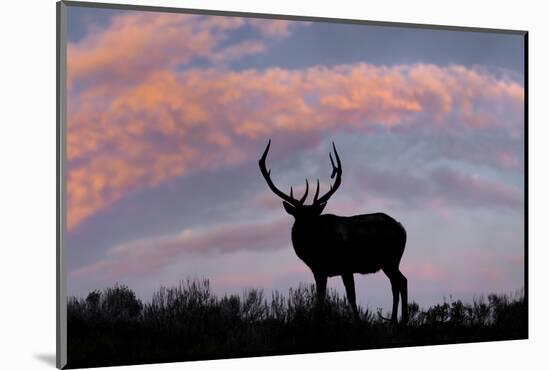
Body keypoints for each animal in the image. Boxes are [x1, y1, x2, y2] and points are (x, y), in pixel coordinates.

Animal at [260, 140, 410, 322]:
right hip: (390, 261)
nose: (309, 232)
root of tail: (402, 228)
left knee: (399, 282)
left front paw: (358, 322)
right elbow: (320, 300)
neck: (316, 254)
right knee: (399, 281)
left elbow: (351, 298)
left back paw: (398, 320)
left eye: (314, 217)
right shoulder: (319, 271)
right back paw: (399, 320)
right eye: (299, 217)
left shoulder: (346, 265)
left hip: (390, 258)